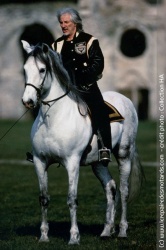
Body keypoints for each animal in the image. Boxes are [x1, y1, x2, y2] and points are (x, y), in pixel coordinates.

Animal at [21, 40, 143, 244]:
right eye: (25, 69)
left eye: (42, 69)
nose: (27, 101)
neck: (53, 118)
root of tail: (125, 99)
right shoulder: (39, 161)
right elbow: (44, 198)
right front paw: (44, 236)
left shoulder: (72, 162)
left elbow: (72, 199)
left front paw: (74, 237)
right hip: (98, 163)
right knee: (111, 188)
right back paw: (106, 230)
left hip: (124, 154)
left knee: (124, 191)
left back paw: (122, 230)